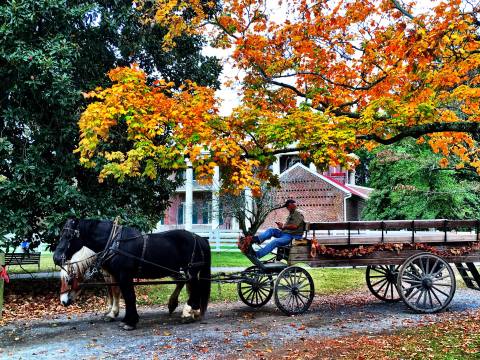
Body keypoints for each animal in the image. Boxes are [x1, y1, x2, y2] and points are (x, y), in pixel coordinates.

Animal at [52, 218, 210, 330]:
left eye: (69, 236)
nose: (56, 257)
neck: (113, 243)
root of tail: (199, 238)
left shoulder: (124, 275)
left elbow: (128, 296)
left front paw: (129, 321)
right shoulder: (114, 275)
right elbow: (117, 294)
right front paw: (117, 315)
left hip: (191, 270)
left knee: (194, 287)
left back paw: (187, 312)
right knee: (187, 284)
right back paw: (188, 309)